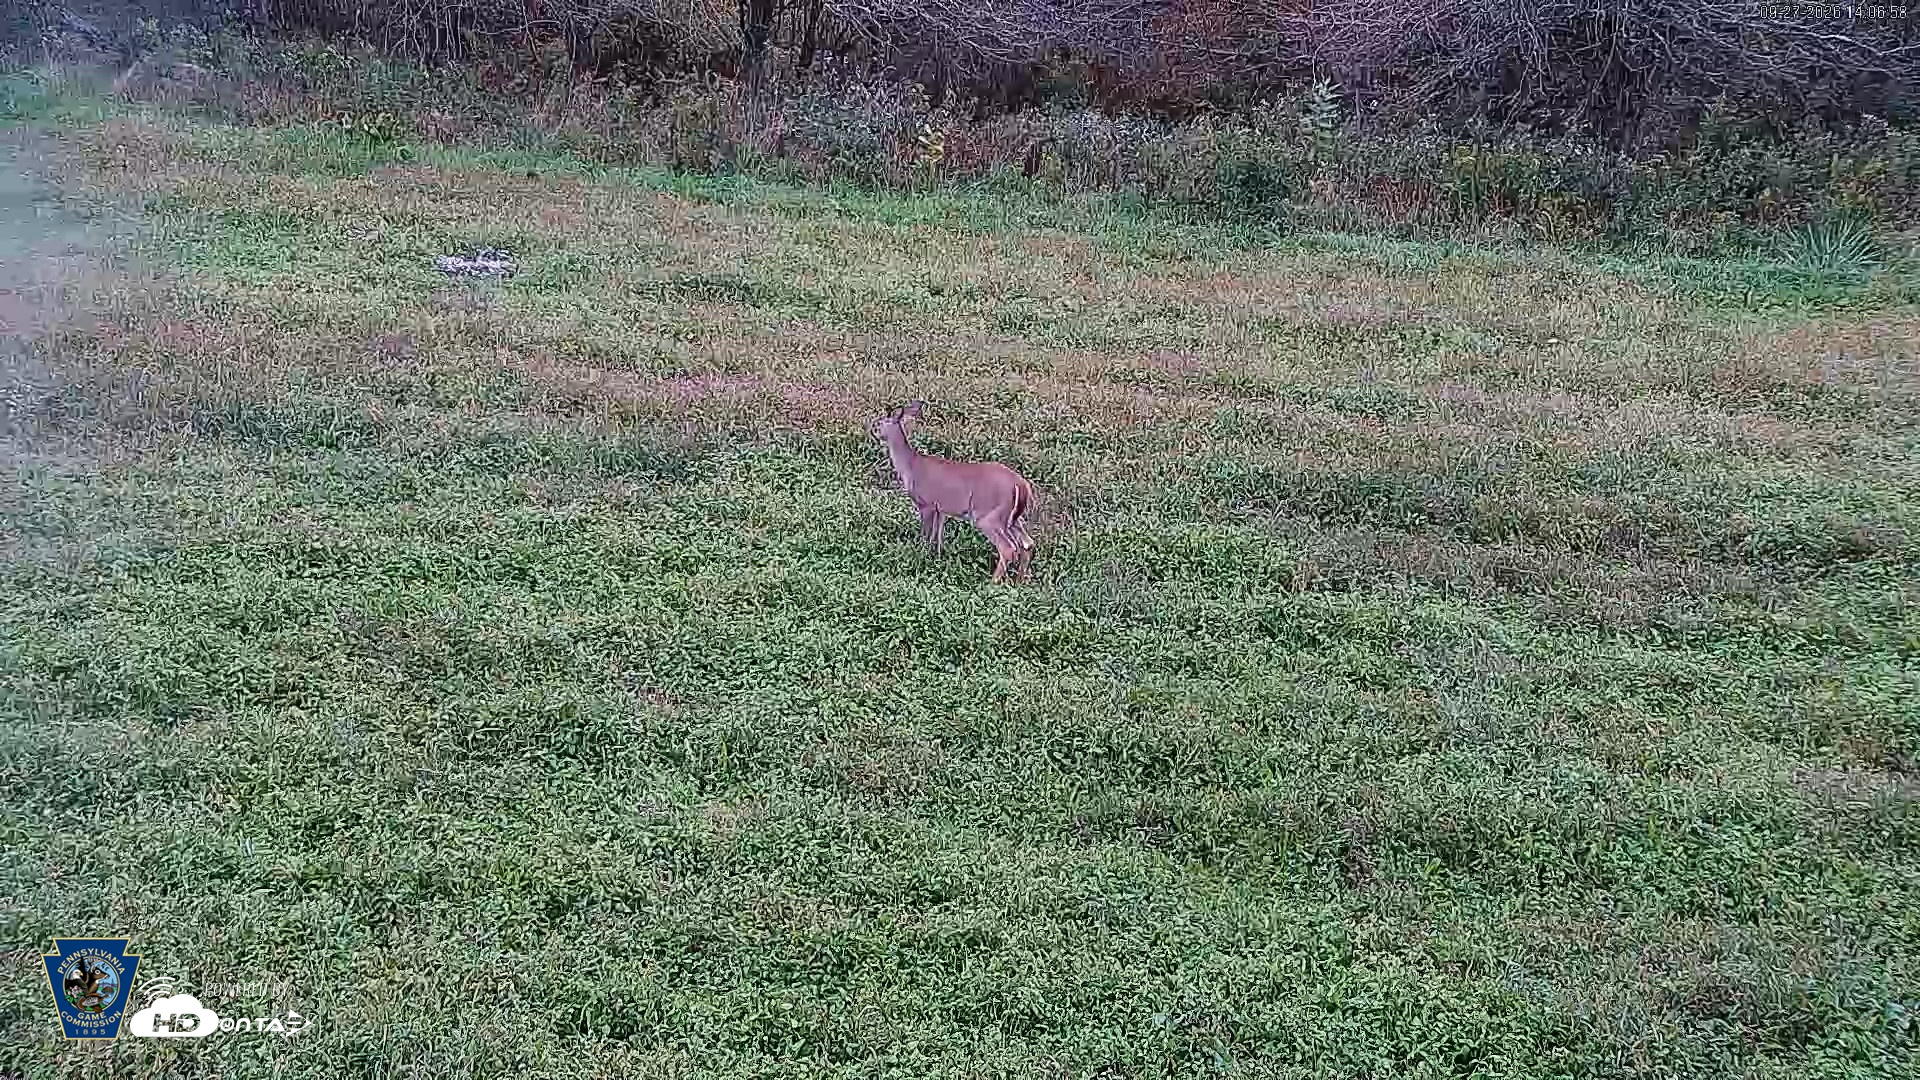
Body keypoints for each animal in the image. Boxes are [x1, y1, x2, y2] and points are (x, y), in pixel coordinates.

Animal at [871, 401, 1037, 582]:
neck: (910, 465)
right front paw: (936, 560)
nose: (873, 430)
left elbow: (926, 535)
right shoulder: (940, 509)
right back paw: (1019, 581)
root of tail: (1021, 484)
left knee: (1008, 548)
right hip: (1012, 518)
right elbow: (937, 537)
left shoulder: (926, 503)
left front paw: (921, 557)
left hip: (989, 515)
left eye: (880, 422)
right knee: (1028, 543)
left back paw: (992, 582)